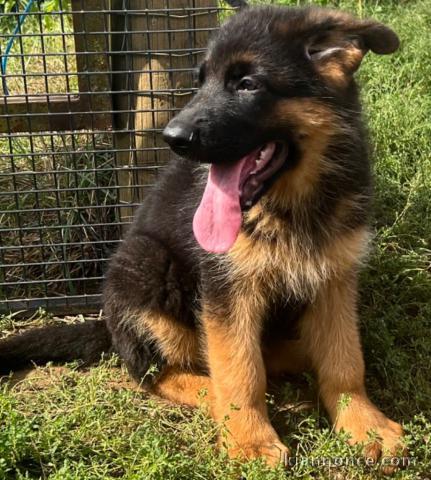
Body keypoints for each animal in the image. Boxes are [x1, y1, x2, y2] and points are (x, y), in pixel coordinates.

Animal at [0, 3, 404, 468]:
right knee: (154, 371)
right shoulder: (226, 287)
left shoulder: (335, 278)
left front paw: (363, 421)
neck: (290, 204)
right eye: (201, 81)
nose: (171, 138)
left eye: (247, 84)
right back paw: (215, 396)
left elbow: (344, 360)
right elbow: (239, 370)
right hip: (146, 266)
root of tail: (109, 324)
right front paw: (247, 438)